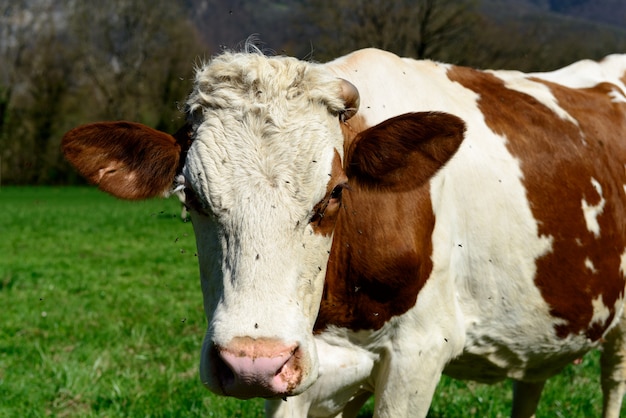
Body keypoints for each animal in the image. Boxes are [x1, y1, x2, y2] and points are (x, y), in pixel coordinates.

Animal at [59, 46, 624, 418]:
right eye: (190, 197)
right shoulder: (307, 376)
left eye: (334, 193)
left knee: (612, 383)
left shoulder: (417, 355)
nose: (250, 364)